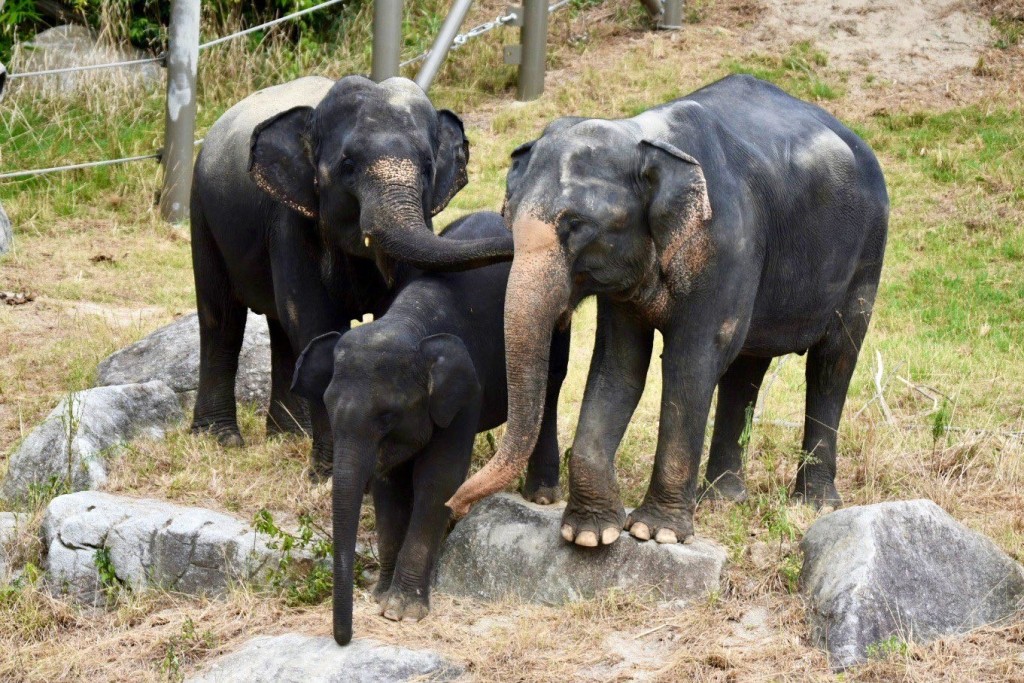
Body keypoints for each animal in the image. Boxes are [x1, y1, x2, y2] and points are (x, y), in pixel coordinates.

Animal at [189, 74, 512, 479]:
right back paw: (221, 439)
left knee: (279, 328)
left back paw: (289, 436)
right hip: (202, 212)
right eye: (348, 165)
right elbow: (314, 321)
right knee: (221, 319)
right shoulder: (290, 220)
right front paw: (326, 474)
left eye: (427, 165)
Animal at [292, 209, 573, 647]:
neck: (408, 321)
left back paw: (541, 496)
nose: (344, 638)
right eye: (329, 410)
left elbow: (438, 479)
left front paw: (401, 612)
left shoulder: (466, 390)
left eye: (387, 416)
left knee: (551, 387)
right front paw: (381, 596)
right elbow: (390, 484)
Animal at [448, 74, 888, 548]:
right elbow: (618, 366)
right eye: (508, 218)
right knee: (746, 368)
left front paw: (653, 533)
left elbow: (689, 363)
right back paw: (723, 498)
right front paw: (590, 535)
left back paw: (815, 505)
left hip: (869, 251)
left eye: (576, 226)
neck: (642, 135)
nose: (454, 507)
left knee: (832, 363)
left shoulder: (727, 246)